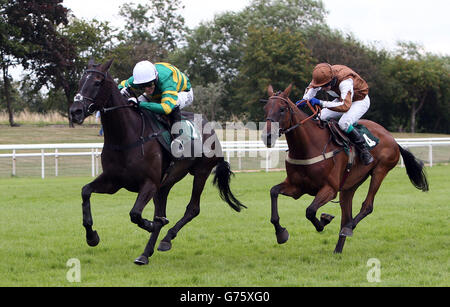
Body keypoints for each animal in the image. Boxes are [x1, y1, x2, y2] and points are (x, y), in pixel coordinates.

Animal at [69, 59, 246, 266]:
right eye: (80, 81)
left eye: (97, 82)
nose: (75, 111)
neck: (126, 137)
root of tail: (209, 126)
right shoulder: (113, 181)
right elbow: (85, 191)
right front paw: (92, 237)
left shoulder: (149, 183)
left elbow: (135, 214)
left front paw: (152, 224)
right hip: (165, 185)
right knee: (162, 211)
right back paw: (145, 254)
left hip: (200, 172)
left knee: (193, 209)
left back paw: (166, 239)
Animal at [262, 83, 428, 253]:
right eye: (265, 108)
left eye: (282, 109)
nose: (267, 136)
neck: (308, 147)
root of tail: (392, 138)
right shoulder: (297, 187)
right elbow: (273, 192)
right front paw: (280, 233)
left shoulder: (330, 189)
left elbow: (310, 211)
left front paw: (323, 221)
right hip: (350, 185)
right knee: (346, 215)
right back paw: (338, 249)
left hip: (380, 171)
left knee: (366, 207)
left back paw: (348, 228)